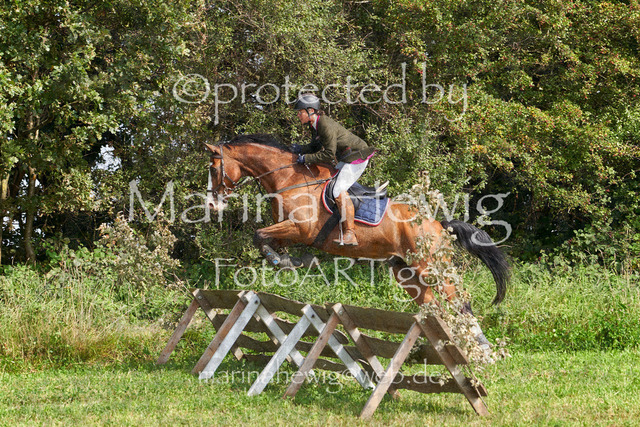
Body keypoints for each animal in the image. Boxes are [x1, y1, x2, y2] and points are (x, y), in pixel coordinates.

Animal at [204, 134, 509, 312]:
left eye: (212, 168)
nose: (211, 204)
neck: (289, 179)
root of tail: (438, 224)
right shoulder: (286, 231)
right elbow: (265, 238)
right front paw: (291, 261)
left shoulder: (300, 229)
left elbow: (258, 235)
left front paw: (284, 261)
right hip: (405, 270)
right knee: (432, 303)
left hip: (431, 266)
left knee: (460, 299)